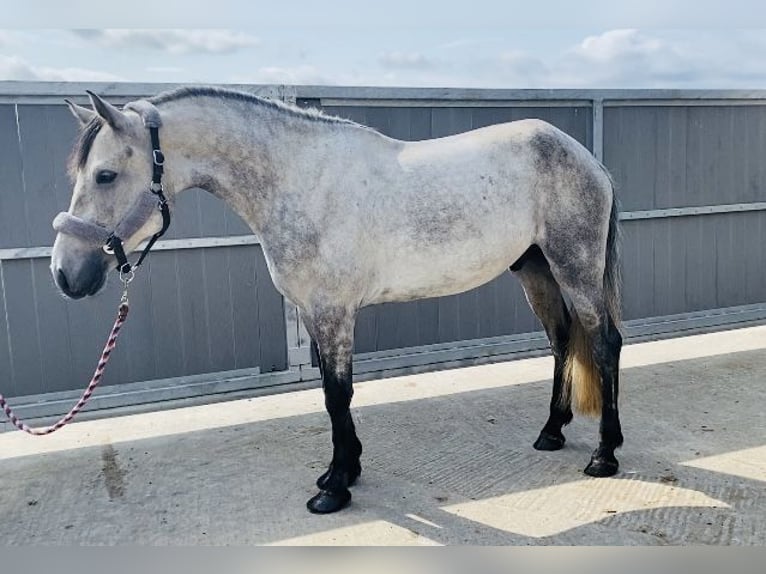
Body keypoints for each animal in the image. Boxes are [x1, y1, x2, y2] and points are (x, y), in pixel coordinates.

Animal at [49, 88, 624, 516]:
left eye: (105, 174)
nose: (65, 275)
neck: (300, 181)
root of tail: (585, 157)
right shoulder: (312, 312)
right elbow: (331, 394)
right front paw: (341, 470)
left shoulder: (333, 313)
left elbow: (337, 395)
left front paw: (335, 488)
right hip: (537, 271)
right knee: (562, 341)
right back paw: (551, 432)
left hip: (575, 268)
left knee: (604, 344)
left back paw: (605, 455)